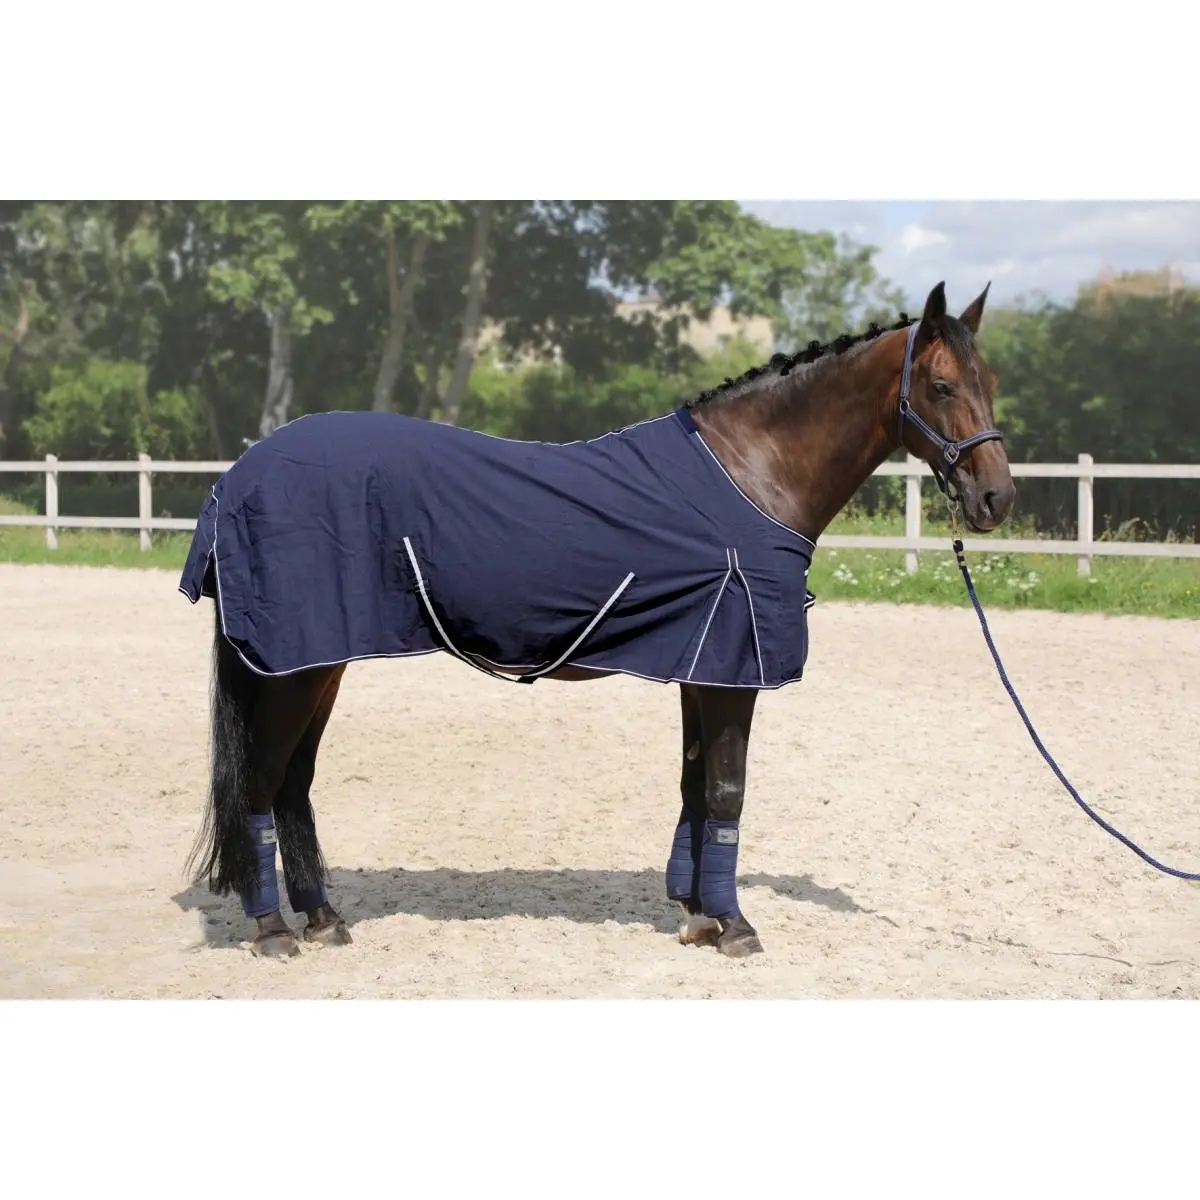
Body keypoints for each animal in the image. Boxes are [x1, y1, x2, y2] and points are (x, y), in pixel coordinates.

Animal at [179, 280, 1015, 959]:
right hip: (296, 668)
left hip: (316, 664)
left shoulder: (703, 669)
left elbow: (693, 788)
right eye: (942, 384)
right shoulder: (732, 673)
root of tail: (238, 478)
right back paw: (274, 932)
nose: (996, 498)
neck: (751, 474)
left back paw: (324, 920)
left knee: (293, 785)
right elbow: (727, 792)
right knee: (260, 786)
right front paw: (736, 926)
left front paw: (697, 914)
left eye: (992, 381)